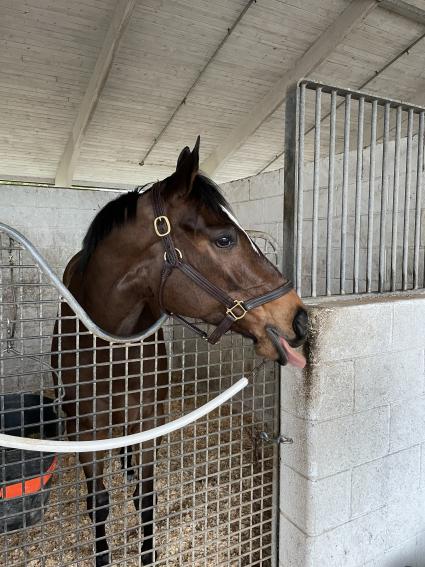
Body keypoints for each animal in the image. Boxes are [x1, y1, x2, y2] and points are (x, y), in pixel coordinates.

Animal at [51, 139, 306, 567]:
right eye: (224, 239)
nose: (299, 319)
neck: (110, 344)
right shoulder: (87, 430)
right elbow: (98, 502)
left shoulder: (151, 418)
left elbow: (146, 498)